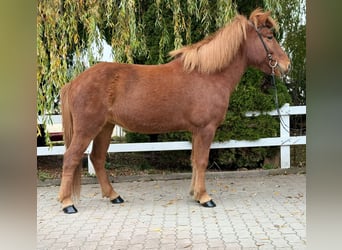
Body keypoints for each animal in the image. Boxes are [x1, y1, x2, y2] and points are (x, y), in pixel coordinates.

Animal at [58, 8, 288, 214]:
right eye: (269, 37)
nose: (286, 65)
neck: (208, 75)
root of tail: (74, 82)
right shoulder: (206, 129)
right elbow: (202, 161)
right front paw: (205, 198)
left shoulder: (196, 131)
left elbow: (195, 160)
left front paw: (195, 194)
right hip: (88, 128)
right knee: (71, 158)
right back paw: (67, 204)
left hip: (105, 127)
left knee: (97, 158)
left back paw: (114, 196)